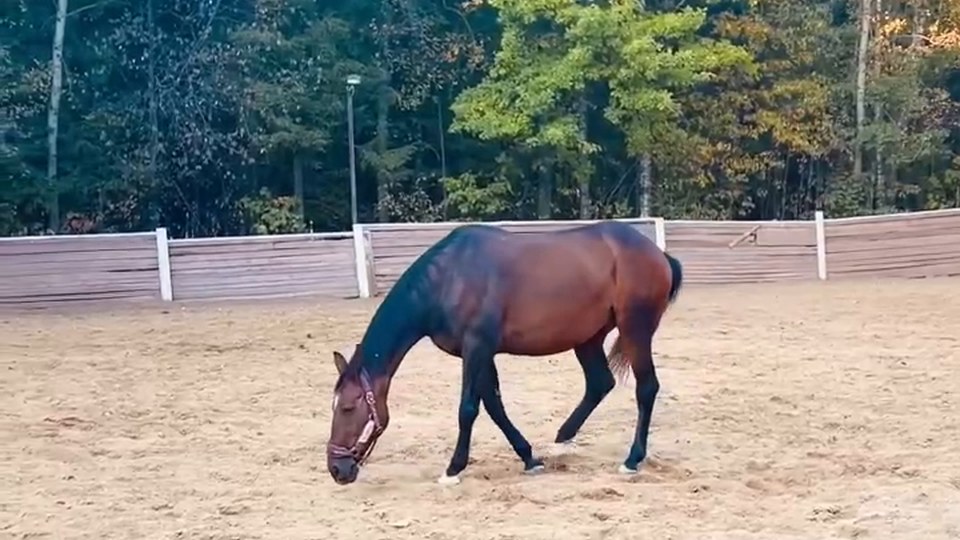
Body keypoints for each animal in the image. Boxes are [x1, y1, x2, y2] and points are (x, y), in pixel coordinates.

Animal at [326, 220, 683, 485]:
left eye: (347, 407)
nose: (336, 469)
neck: (449, 278)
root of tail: (658, 254)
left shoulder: (477, 348)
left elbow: (468, 409)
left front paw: (453, 469)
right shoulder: (479, 353)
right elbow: (494, 406)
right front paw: (529, 457)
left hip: (635, 330)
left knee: (646, 388)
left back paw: (632, 459)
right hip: (588, 338)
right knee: (599, 383)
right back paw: (563, 437)